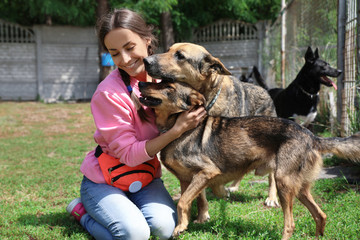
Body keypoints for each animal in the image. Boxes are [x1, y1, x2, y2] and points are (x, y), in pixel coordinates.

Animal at [143, 41, 278, 208]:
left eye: (180, 56)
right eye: (168, 50)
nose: (145, 61)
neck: (206, 100)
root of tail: (265, 90)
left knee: (271, 173)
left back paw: (272, 196)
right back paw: (233, 186)